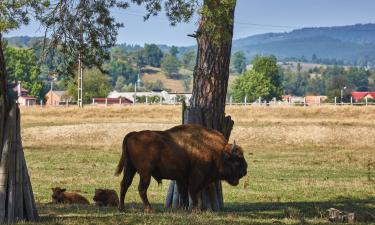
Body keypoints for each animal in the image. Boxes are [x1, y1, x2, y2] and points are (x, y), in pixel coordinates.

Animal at [116, 124, 248, 212]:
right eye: (236, 159)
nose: (245, 171)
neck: (217, 151)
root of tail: (134, 134)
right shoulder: (196, 176)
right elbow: (193, 192)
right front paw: (195, 209)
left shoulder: (183, 177)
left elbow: (186, 193)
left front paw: (186, 208)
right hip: (145, 172)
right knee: (141, 188)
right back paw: (149, 209)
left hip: (130, 168)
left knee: (124, 184)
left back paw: (122, 208)